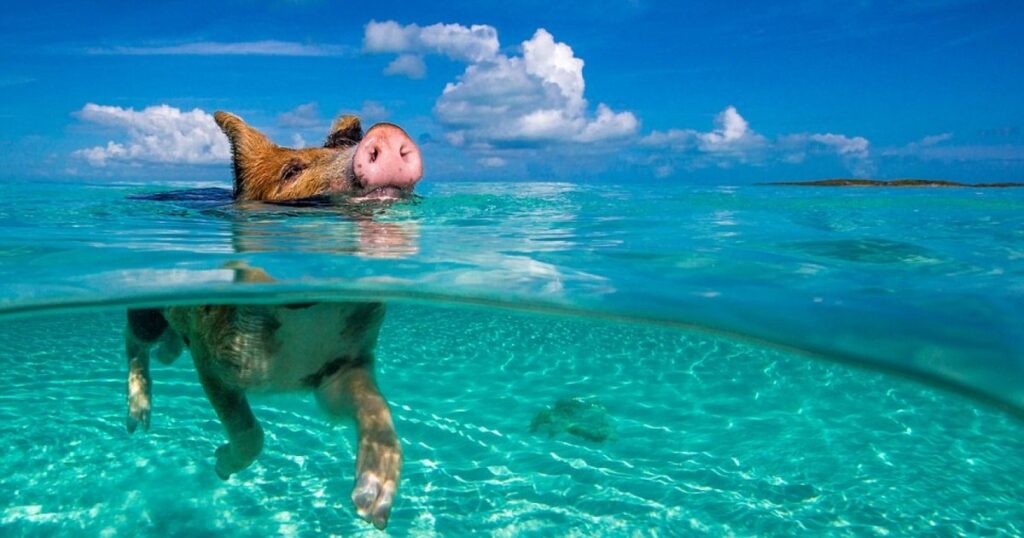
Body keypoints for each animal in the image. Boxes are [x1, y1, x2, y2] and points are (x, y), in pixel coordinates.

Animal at [124, 111, 422, 529]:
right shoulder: (211, 358)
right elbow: (249, 431)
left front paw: (372, 507)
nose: (387, 132)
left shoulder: (339, 367)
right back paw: (137, 421)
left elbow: (376, 406)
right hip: (149, 310)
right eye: (291, 171)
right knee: (134, 342)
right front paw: (220, 466)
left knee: (162, 350)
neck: (308, 317)